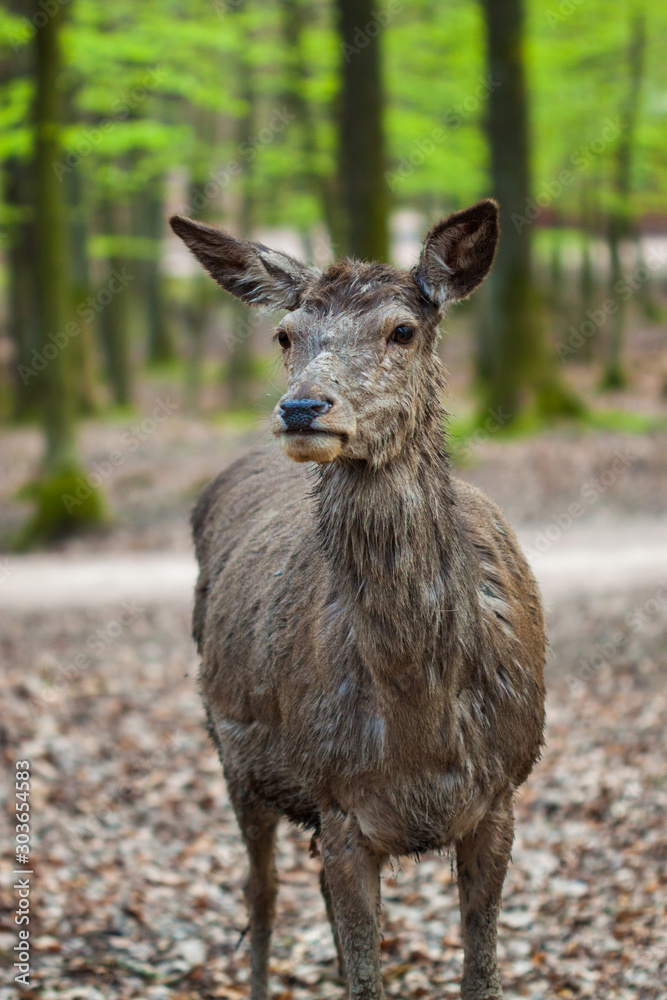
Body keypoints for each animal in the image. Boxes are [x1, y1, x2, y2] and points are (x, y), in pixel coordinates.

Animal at [168, 197, 548, 1000]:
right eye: (285, 333)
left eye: (402, 329)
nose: (302, 407)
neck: (419, 725)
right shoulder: (338, 799)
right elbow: (363, 974)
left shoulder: (500, 793)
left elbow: (480, 972)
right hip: (232, 750)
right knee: (261, 892)